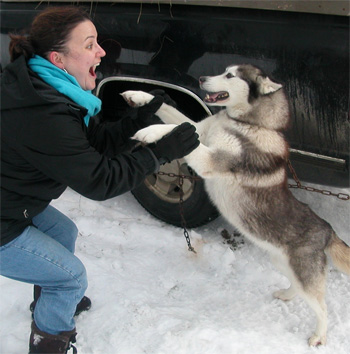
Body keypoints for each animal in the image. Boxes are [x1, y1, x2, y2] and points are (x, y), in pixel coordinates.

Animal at [121, 63, 350, 346]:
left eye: (230, 76)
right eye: (223, 70)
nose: (201, 78)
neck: (244, 123)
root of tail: (328, 230)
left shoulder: (210, 159)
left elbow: (176, 131)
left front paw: (152, 132)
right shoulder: (199, 130)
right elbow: (175, 117)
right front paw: (141, 96)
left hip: (304, 273)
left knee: (322, 307)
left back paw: (319, 336)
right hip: (281, 262)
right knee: (298, 288)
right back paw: (286, 295)